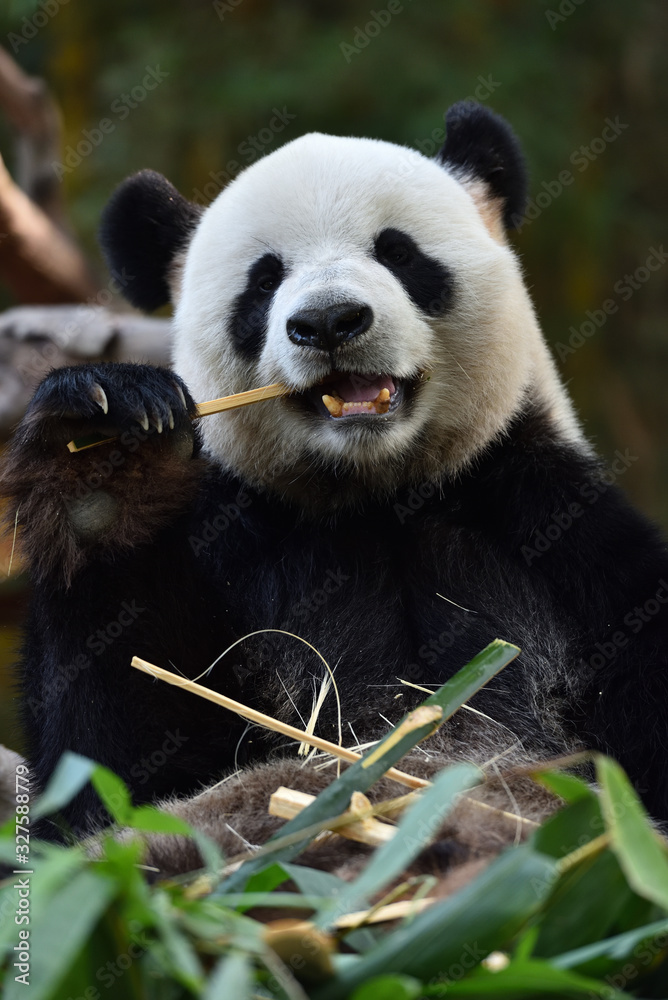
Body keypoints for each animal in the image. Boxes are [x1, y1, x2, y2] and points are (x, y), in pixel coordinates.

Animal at [4, 101, 668, 874]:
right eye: (264, 281)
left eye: (398, 252)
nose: (327, 321)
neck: (377, 494)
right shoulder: (231, 552)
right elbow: (111, 763)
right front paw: (105, 457)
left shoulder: (556, 532)